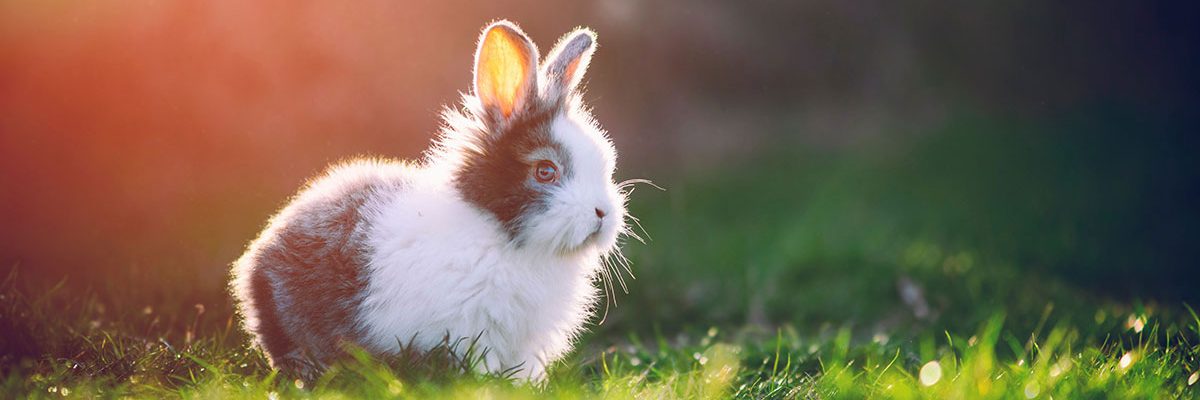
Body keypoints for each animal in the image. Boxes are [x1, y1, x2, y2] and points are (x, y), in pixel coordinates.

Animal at [226, 20, 638, 381]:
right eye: (546, 171)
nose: (603, 214)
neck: (503, 236)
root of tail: (255, 258)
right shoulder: (471, 330)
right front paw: (488, 385)